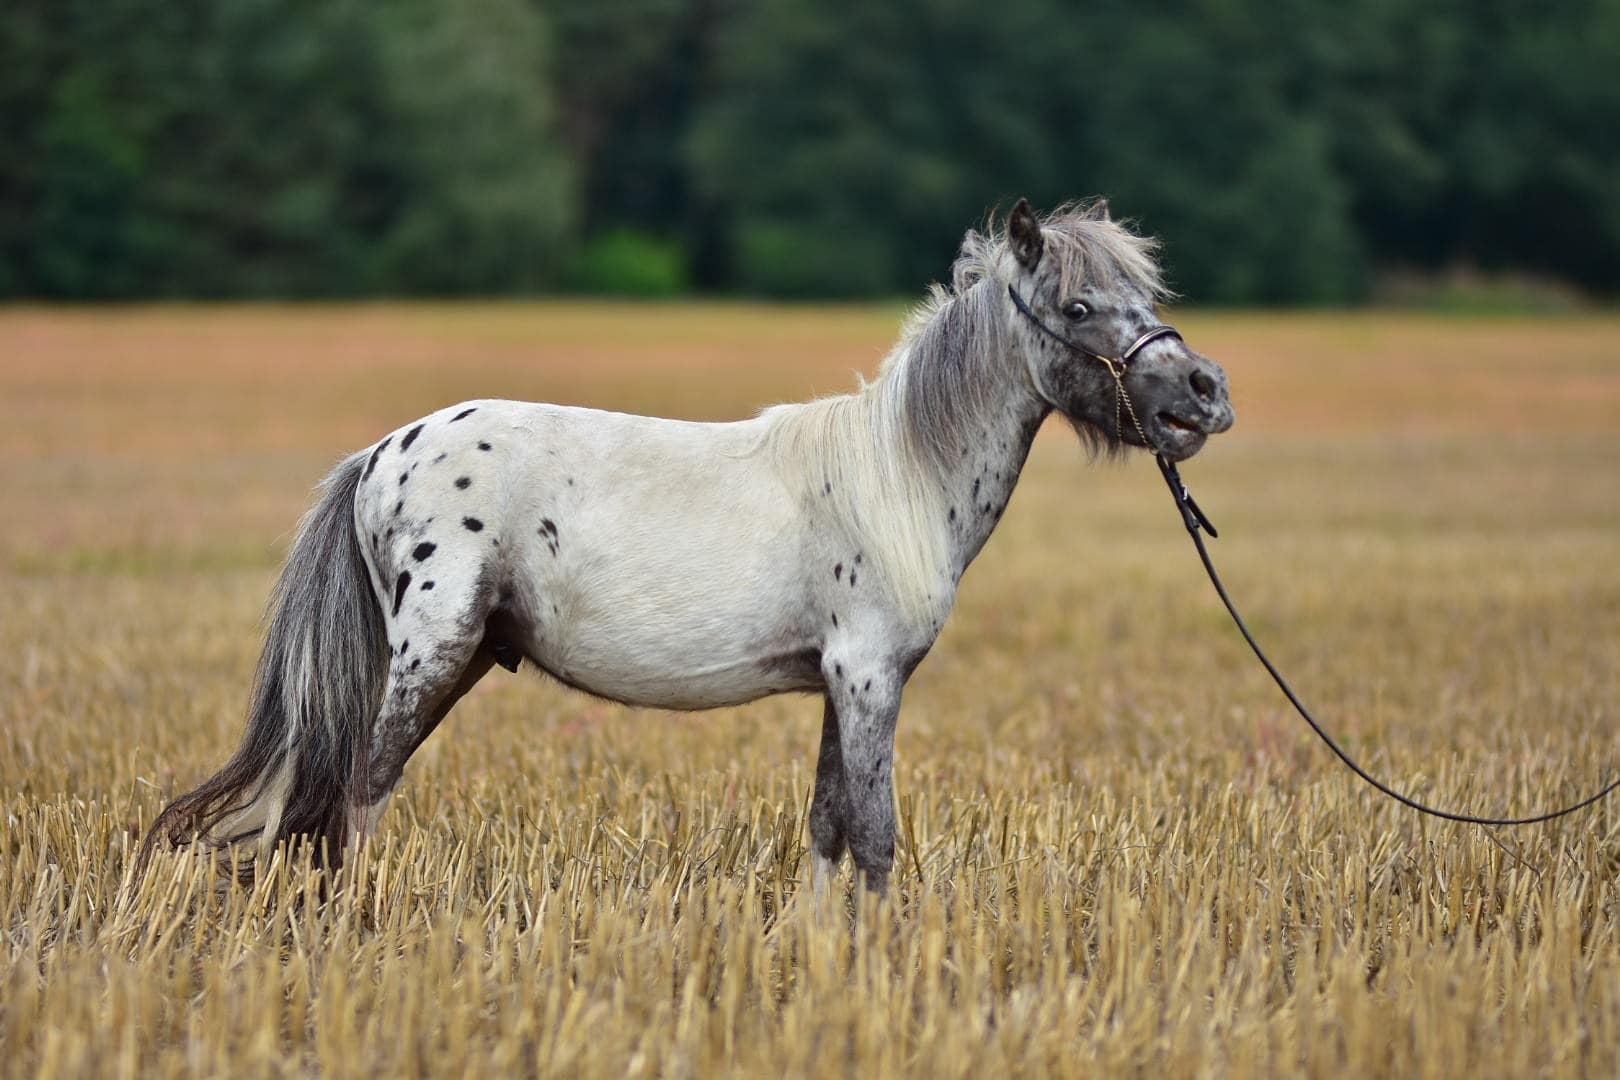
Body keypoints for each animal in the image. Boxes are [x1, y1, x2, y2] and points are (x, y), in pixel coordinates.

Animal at [142, 199, 1235, 895]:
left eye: (1146, 298)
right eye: (1080, 307)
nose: (1205, 394)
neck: (899, 473)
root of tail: (381, 454)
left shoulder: (839, 683)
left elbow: (829, 830)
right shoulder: (869, 675)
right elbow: (877, 838)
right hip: (433, 654)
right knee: (359, 792)